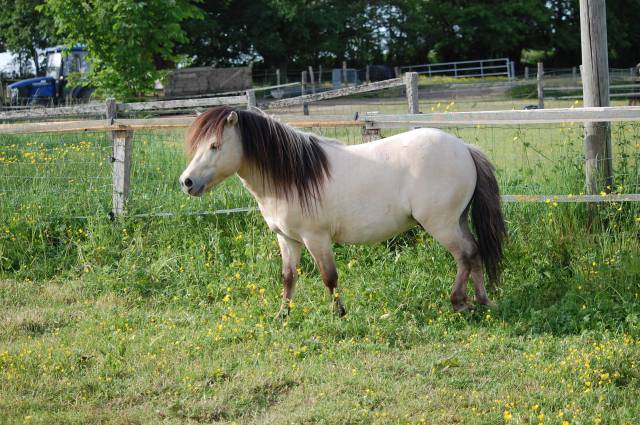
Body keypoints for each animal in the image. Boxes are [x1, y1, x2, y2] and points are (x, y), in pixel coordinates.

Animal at [179, 106, 506, 318]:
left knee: (464, 255)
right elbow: (288, 277)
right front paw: (282, 315)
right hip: (457, 220)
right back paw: (482, 300)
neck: (292, 177)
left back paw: (459, 302)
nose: (187, 182)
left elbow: (329, 276)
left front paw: (339, 313)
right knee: (475, 252)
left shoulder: (316, 238)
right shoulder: (287, 239)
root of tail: (463, 148)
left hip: (442, 224)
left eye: (215, 145)